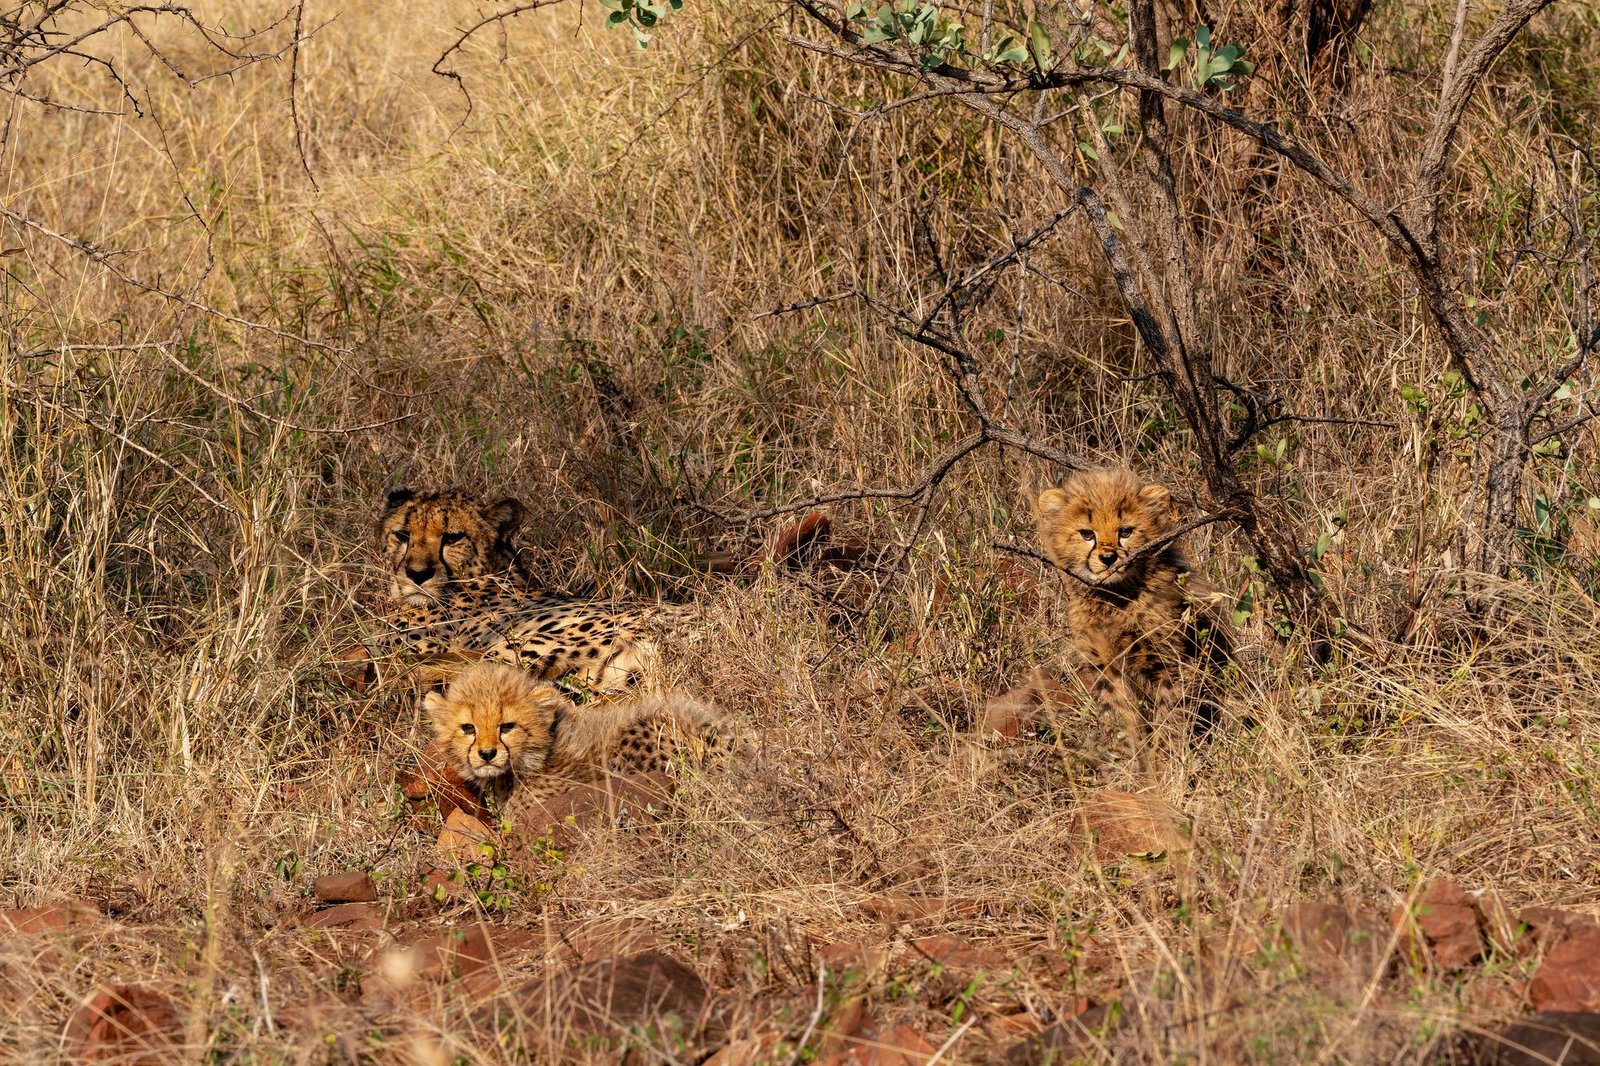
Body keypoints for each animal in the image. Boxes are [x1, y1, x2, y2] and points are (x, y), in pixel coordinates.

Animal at [1034, 466, 1232, 761]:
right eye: (1087, 534)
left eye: (1125, 531)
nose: (1108, 559)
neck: (1114, 598)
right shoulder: (1106, 666)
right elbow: (1117, 717)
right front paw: (1125, 762)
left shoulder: (1173, 664)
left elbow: (1169, 717)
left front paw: (1166, 763)